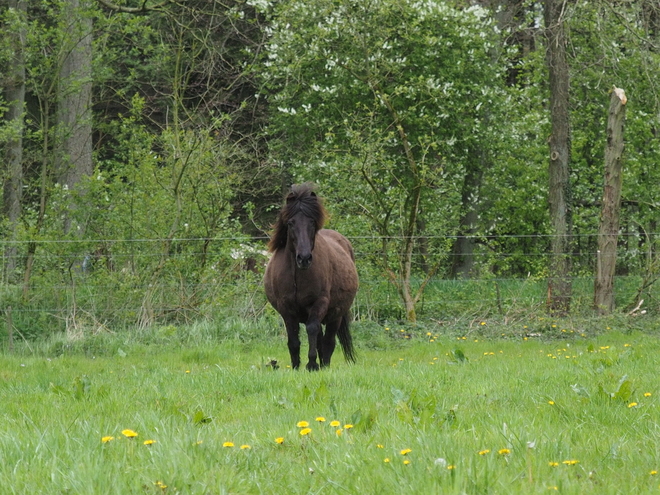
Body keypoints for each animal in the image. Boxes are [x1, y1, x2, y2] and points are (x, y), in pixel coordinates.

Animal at [262, 184, 358, 370]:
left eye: (312, 222)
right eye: (290, 223)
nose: (304, 258)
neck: (297, 275)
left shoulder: (319, 303)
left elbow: (312, 330)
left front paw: (312, 364)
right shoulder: (286, 309)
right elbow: (293, 340)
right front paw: (296, 366)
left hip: (336, 315)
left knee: (328, 341)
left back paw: (324, 365)